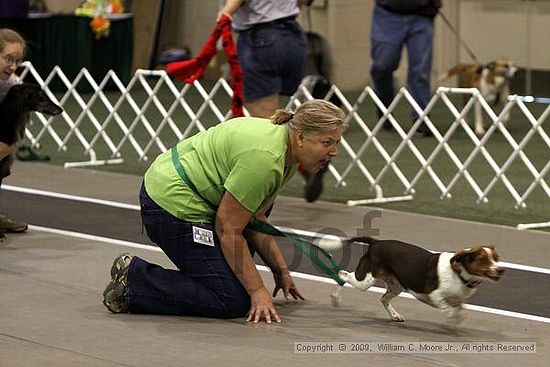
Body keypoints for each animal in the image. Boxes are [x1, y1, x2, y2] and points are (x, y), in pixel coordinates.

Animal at [334, 237, 506, 326]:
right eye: (483, 259)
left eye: (496, 258)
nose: (501, 270)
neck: (459, 274)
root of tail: (376, 242)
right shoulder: (434, 294)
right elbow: (447, 307)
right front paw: (451, 316)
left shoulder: (460, 299)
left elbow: (461, 310)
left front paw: (457, 317)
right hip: (365, 280)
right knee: (343, 274)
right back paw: (335, 297)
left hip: (396, 286)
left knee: (384, 299)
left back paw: (395, 316)